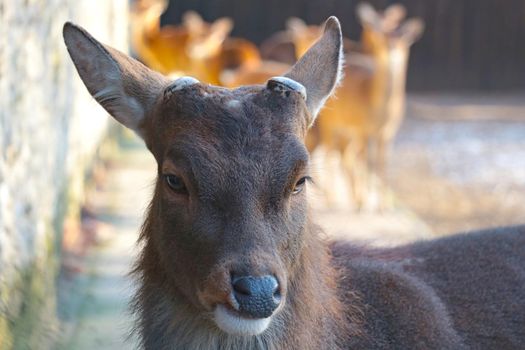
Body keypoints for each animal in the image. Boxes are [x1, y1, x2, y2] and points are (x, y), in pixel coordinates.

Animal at [284, 2, 424, 209]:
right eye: (381, 36)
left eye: (403, 39)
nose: (391, 48)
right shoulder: (363, 129)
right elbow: (366, 162)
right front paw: (367, 203)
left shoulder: (387, 133)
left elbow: (382, 164)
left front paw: (382, 205)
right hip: (330, 122)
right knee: (331, 151)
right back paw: (333, 197)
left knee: (344, 155)